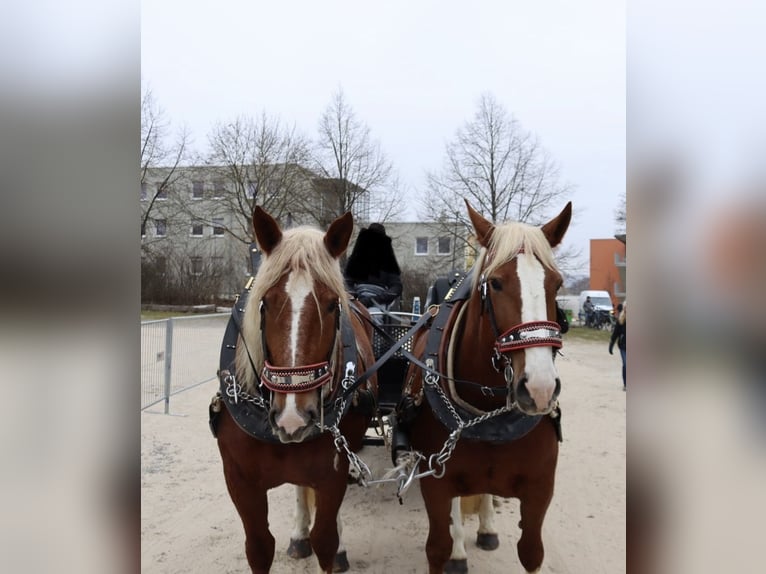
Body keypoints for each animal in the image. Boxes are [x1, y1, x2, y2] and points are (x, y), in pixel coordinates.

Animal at [210, 208, 378, 574]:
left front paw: (334, 549)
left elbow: (326, 540)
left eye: (331, 305)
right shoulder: (240, 481)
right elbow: (259, 546)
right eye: (265, 303)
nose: (293, 417)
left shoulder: (331, 475)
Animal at [400, 200, 572, 572]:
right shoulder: (437, 484)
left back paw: (487, 527)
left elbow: (532, 552)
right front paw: (454, 550)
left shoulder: (539, 491)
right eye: (495, 283)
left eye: (557, 283)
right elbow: (438, 544)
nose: (539, 389)